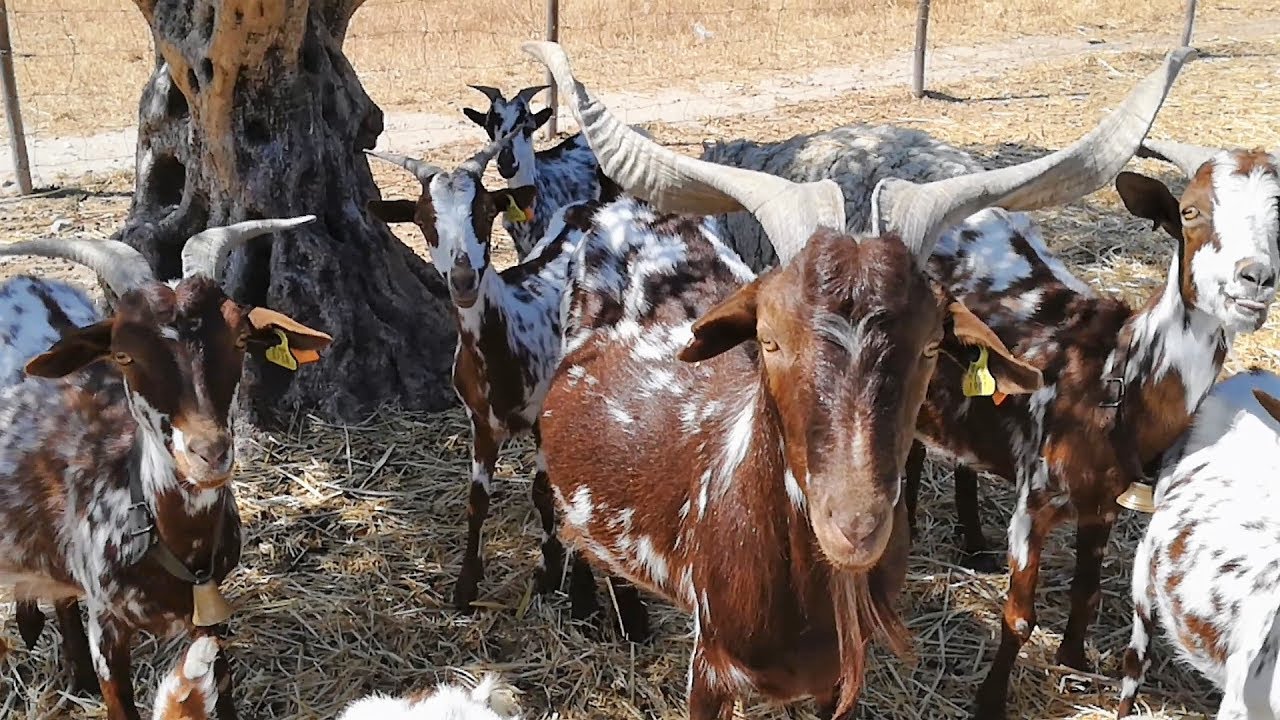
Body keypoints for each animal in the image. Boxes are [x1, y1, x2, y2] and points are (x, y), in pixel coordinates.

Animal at [0, 217, 333, 720]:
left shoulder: (209, 616)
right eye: (123, 354)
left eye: (240, 338)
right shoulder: (107, 624)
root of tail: (23, 281)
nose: (209, 452)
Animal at [364, 131, 594, 612]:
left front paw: (550, 572)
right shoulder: (480, 423)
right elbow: (477, 500)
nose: (464, 280)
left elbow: (542, 489)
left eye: (486, 211)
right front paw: (466, 586)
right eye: (424, 219)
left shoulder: (542, 417)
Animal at [522, 41, 1186, 718]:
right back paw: (609, 614)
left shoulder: (836, 678)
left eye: (931, 344)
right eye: (768, 337)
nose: (856, 525)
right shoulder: (710, 669)